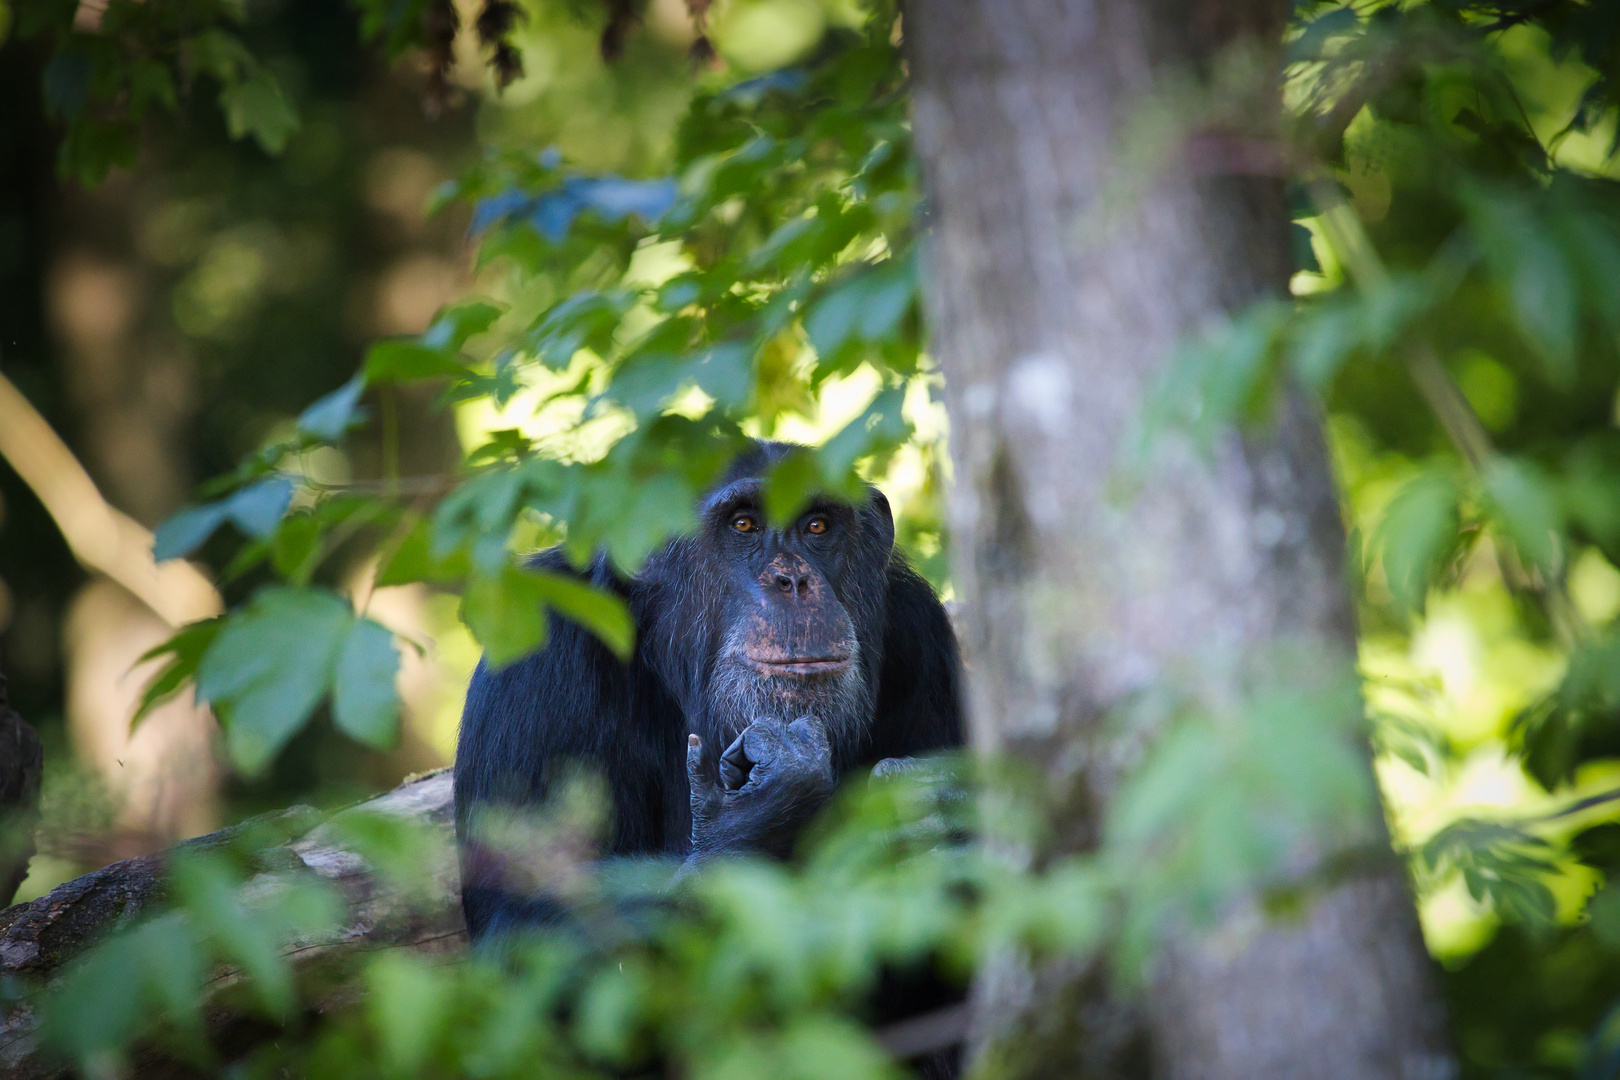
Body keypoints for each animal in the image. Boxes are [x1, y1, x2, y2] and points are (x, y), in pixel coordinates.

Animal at [453, 440, 959, 939]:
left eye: (817, 525)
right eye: (743, 524)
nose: (794, 580)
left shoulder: (922, 633)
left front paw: (937, 817)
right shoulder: (534, 663)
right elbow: (519, 918)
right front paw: (755, 814)